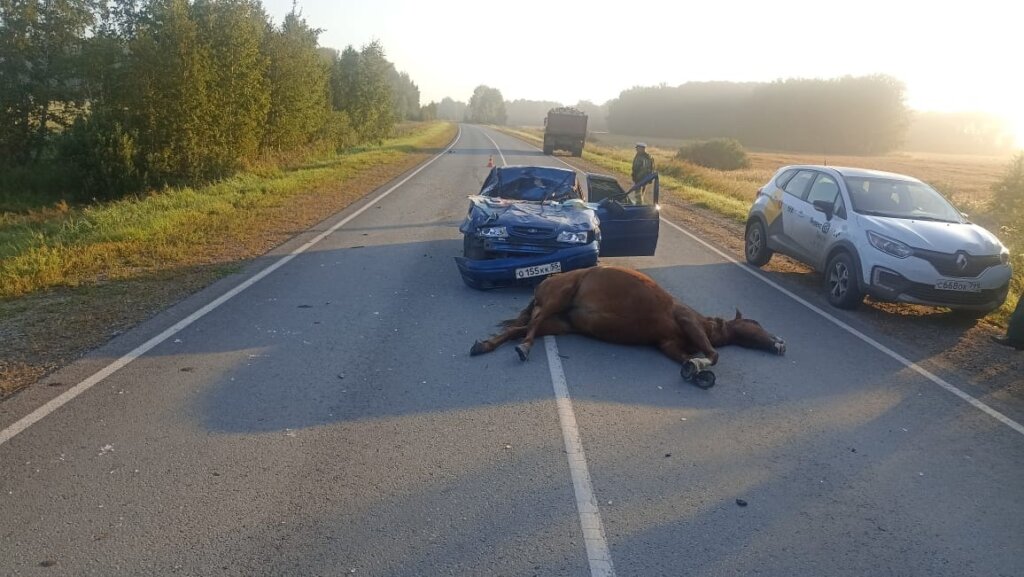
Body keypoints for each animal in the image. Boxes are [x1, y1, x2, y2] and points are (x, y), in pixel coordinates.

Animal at [468, 266, 782, 387]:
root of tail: (546, 280)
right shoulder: (687, 321)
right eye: (756, 323)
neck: (705, 323)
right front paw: (699, 365)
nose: (780, 343)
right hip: (558, 299)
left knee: (518, 329)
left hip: (556, 323)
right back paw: (523, 348)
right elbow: (713, 355)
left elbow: (689, 359)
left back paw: (485, 345)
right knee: (528, 328)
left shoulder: (668, 345)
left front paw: (694, 370)